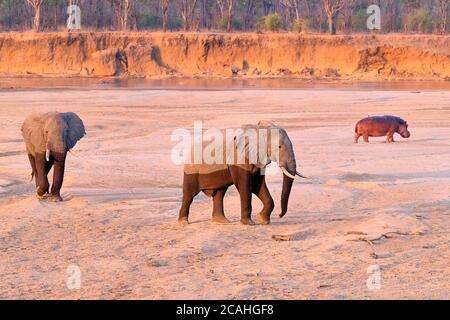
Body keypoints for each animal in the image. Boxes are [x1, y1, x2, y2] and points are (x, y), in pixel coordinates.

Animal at [178, 120, 308, 225]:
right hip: (192, 168)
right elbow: (245, 186)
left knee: (220, 193)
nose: (280, 215)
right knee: (189, 194)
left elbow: (257, 185)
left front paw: (262, 220)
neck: (260, 129)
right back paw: (183, 222)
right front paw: (249, 224)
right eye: (279, 147)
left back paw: (222, 221)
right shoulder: (238, 157)